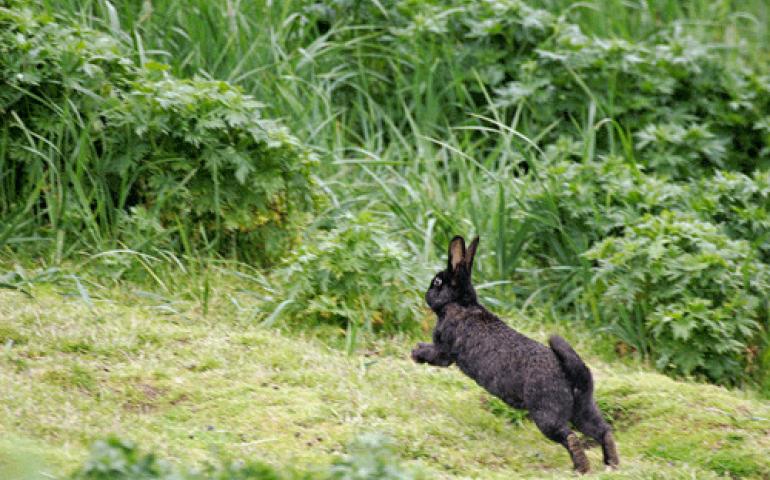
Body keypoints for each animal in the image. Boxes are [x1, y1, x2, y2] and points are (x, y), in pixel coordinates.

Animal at [411, 235, 619, 474]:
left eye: (437, 282)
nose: (426, 294)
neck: (460, 303)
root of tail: (573, 376)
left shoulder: (443, 350)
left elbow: (432, 353)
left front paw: (415, 352)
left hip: (546, 415)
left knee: (571, 438)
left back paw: (581, 469)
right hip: (582, 410)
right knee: (603, 431)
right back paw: (612, 464)